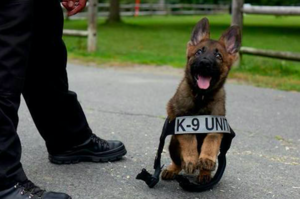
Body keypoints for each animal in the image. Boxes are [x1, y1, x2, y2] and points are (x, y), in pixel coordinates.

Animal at [161, 17, 240, 184]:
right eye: (199, 52)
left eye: (218, 56)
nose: (205, 63)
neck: (201, 97)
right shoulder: (181, 120)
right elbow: (189, 139)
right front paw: (191, 159)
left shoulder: (217, 124)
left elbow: (211, 140)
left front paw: (207, 159)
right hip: (173, 144)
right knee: (178, 162)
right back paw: (173, 169)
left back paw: (204, 173)